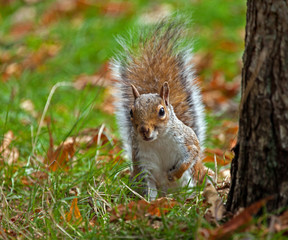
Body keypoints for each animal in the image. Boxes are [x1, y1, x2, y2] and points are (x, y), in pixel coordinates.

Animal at [110, 19, 207, 201]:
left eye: (162, 111)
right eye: (131, 112)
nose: (144, 130)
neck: (158, 140)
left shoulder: (187, 142)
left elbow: (191, 155)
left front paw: (174, 174)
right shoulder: (143, 163)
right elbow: (148, 186)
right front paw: (150, 203)